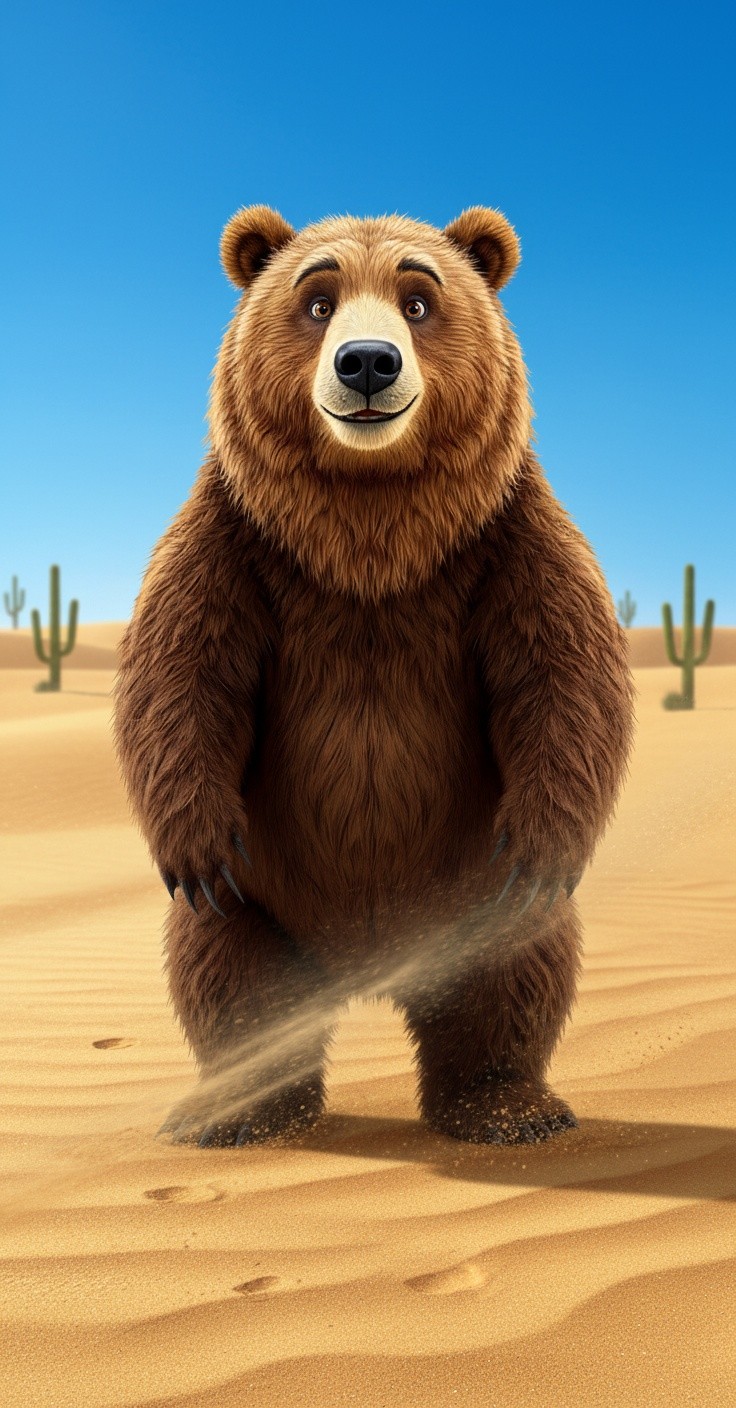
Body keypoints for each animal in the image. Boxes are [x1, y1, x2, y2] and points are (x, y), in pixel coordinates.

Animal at [112, 203, 636, 1149]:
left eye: (418, 300)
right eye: (317, 300)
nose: (366, 361)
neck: (369, 530)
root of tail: (368, 972)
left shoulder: (503, 539)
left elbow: (564, 676)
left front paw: (546, 839)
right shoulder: (238, 541)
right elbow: (179, 673)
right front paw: (195, 842)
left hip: (472, 897)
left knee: (516, 968)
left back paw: (509, 1108)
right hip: (270, 904)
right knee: (227, 971)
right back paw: (235, 1113)